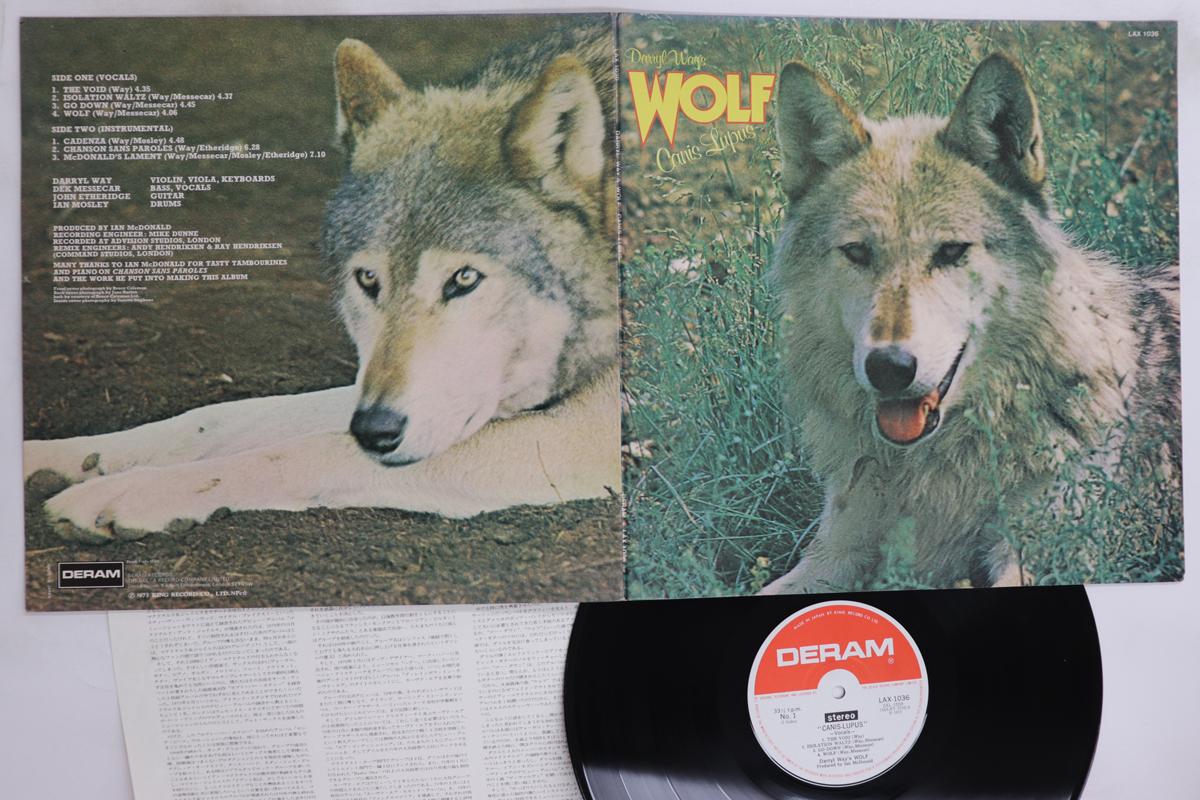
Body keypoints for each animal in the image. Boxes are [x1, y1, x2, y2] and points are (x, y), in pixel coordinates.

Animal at [24, 21, 620, 541]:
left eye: (464, 279)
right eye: (368, 279)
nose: (376, 430)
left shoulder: (572, 436)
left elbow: (304, 451)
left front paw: (130, 493)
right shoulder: (374, 393)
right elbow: (220, 418)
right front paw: (51, 457)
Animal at [763, 54, 1180, 593]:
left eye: (951, 251)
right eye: (857, 252)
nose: (888, 367)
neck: (937, 464)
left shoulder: (1039, 559)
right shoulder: (835, 554)